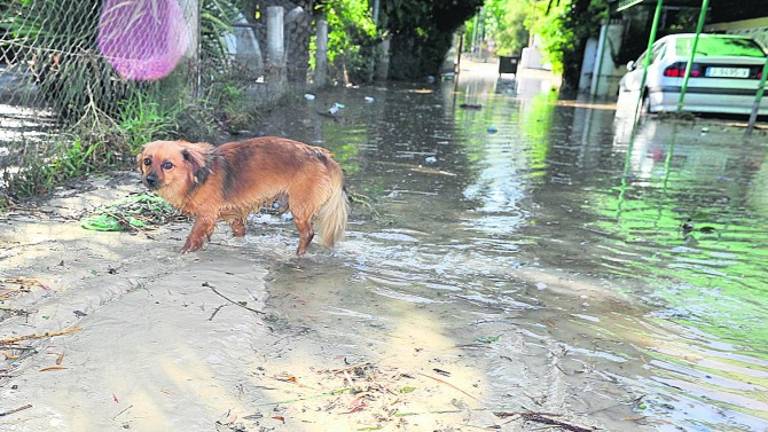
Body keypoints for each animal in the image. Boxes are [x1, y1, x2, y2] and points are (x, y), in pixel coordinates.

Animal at [137, 137, 348, 255]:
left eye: (168, 165)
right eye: (147, 161)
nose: (150, 180)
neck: (195, 175)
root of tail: (320, 154)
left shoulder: (206, 216)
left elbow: (192, 237)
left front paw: (184, 252)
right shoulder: (234, 215)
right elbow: (239, 232)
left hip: (300, 208)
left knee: (308, 234)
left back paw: (298, 254)